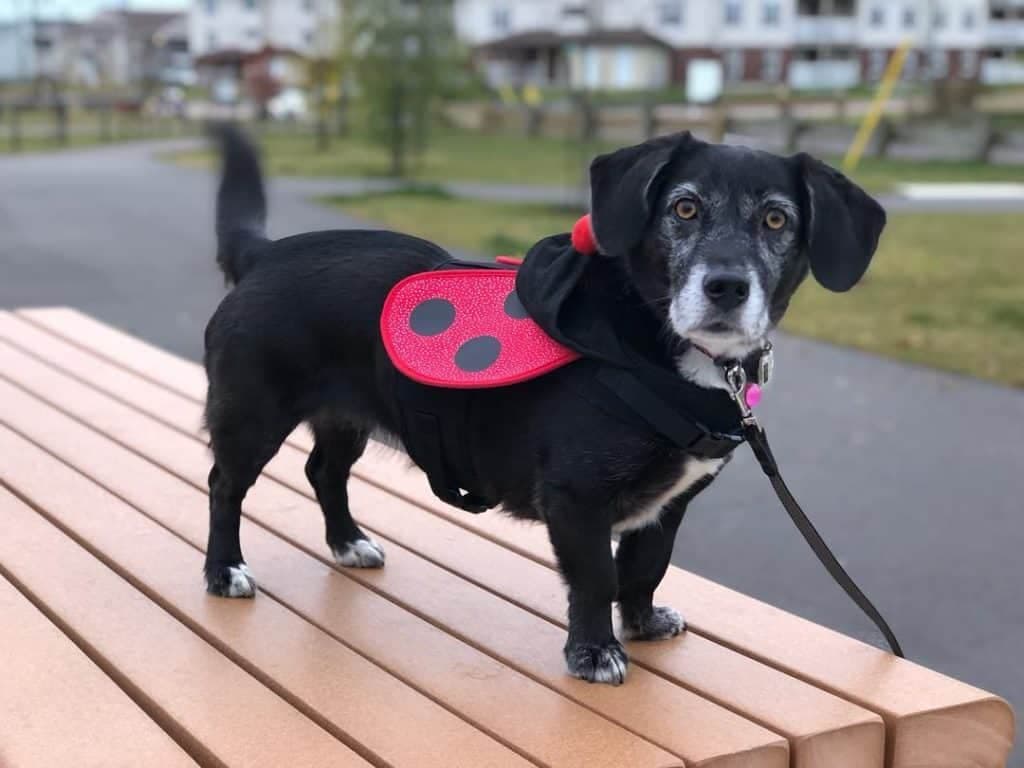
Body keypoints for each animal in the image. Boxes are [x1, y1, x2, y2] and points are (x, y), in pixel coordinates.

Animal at [203, 126, 884, 684]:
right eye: (684, 207)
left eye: (776, 221)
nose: (726, 287)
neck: (658, 346)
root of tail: (265, 253)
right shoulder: (576, 498)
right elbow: (597, 577)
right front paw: (594, 652)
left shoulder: (668, 506)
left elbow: (646, 567)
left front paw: (641, 623)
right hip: (252, 418)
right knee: (224, 486)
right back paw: (224, 571)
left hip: (348, 417)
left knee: (324, 471)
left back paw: (347, 543)